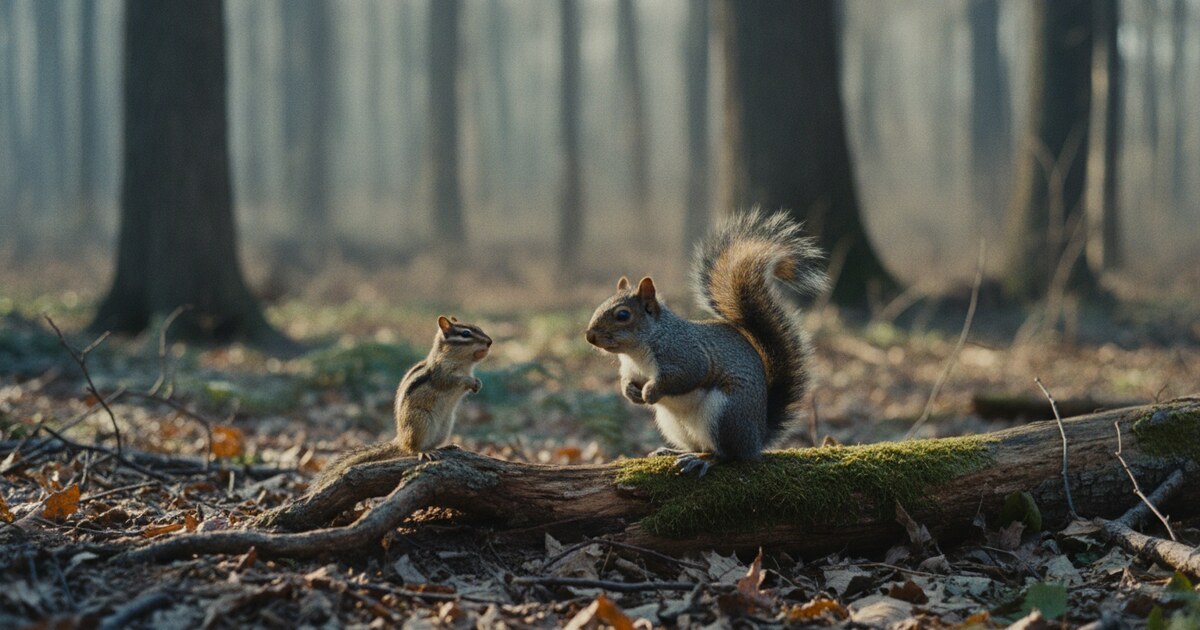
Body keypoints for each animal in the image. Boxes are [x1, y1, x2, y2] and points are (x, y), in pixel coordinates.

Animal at [313, 316, 492, 487]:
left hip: (445, 426)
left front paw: (478, 383)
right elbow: (451, 381)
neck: (463, 364)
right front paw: (470, 381)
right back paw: (424, 451)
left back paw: (445, 446)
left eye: (479, 328)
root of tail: (400, 439)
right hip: (421, 421)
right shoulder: (441, 374)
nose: (490, 342)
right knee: (412, 449)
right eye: (466, 334)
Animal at [584, 209, 826, 476]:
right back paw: (674, 451)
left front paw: (650, 391)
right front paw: (630, 392)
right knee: (700, 445)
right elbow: (627, 380)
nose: (589, 336)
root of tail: (756, 438)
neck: (638, 350)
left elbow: (687, 375)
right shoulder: (630, 369)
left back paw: (701, 460)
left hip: (725, 414)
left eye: (623, 315)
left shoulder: (685, 354)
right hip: (673, 424)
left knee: (725, 454)